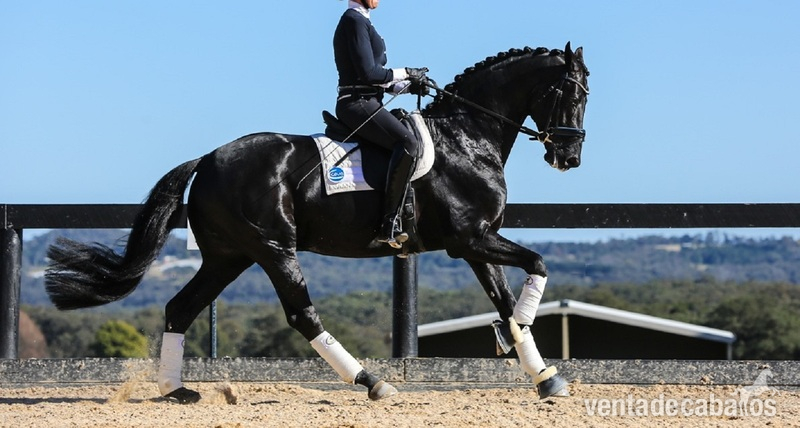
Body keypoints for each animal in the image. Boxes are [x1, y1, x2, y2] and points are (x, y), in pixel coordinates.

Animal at [44, 42, 589, 404]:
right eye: (571, 92)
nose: (568, 158)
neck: (466, 137)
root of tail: (208, 159)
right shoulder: (471, 239)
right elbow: (537, 264)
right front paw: (522, 330)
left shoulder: (477, 242)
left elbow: (506, 295)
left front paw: (544, 376)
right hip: (273, 249)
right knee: (301, 315)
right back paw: (372, 382)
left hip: (229, 256)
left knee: (181, 307)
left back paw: (176, 390)